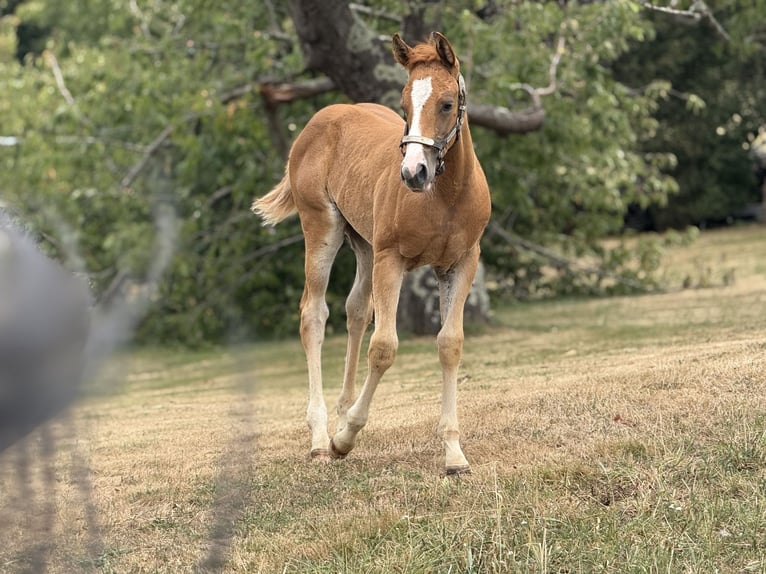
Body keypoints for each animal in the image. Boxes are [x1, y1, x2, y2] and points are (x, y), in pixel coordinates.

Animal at [252, 32, 491, 475]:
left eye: (447, 103)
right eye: (404, 105)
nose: (413, 172)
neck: (446, 197)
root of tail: (321, 118)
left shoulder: (461, 263)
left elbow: (450, 343)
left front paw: (454, 453)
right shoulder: (391, 260)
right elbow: (383, 348)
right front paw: (344, 438)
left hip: (361, 242)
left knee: (356, 309)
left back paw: (342, 410)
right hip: (322, 229)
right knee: (314, 314)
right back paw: (321, 436)